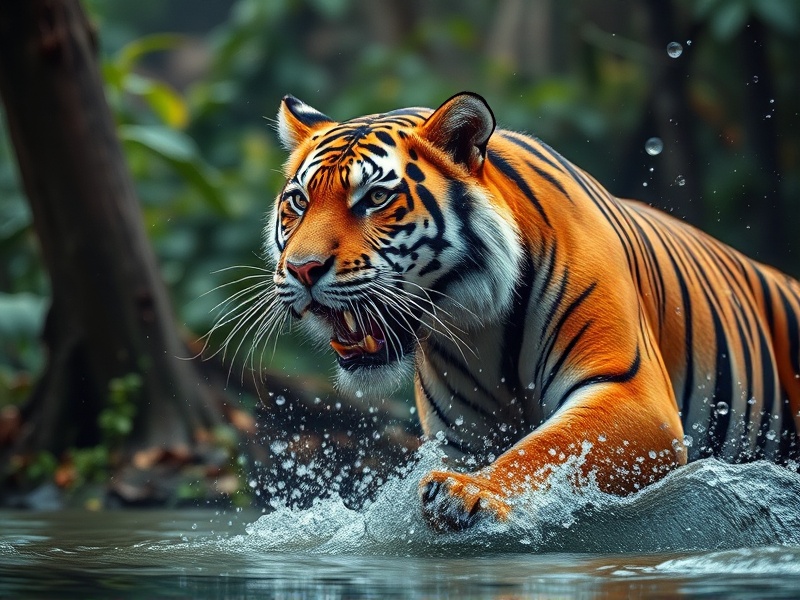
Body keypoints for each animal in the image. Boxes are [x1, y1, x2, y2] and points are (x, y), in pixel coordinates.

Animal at [268, 91, 800, 532]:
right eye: (299, 201)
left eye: (376, 198)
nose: (302, 268)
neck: (479, 324)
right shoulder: (463, 436)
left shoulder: (633, 392)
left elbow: (547, 448)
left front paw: (466, 493)